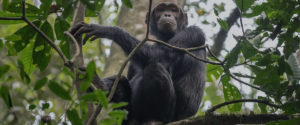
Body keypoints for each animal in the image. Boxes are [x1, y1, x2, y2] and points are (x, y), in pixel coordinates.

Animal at [70, 0, 206, 123]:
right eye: (161, 10)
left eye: (174, 10)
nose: (167, 14)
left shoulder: (193, 33)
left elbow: (163, 56)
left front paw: (109, 30)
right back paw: (99, 85)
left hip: (171, 117)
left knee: (155, 67)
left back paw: (154, 118)